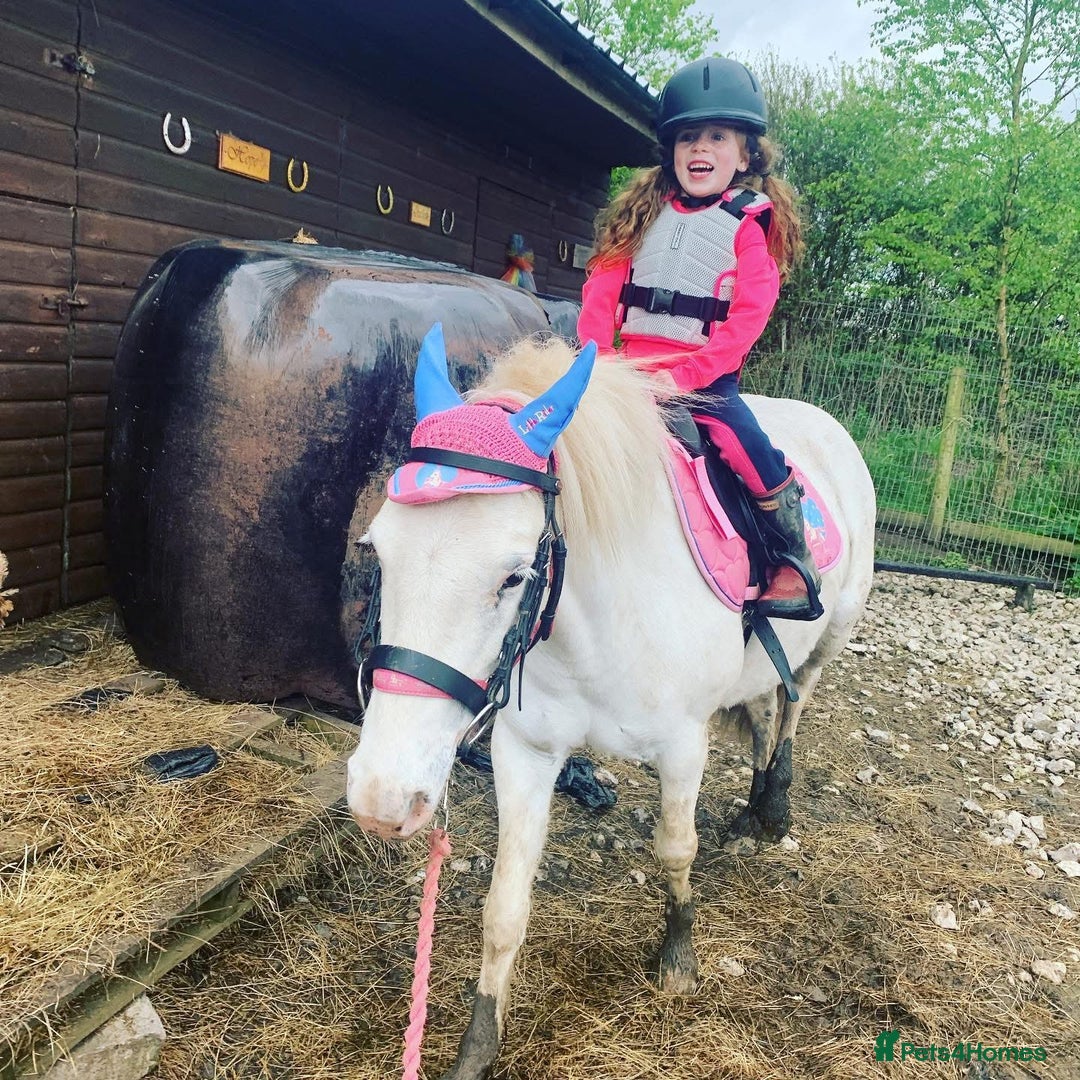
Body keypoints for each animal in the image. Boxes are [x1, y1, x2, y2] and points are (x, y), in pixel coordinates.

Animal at [346, 326, 876, 1079]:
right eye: (378, 552)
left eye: (515, 575)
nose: (382, 798)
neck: (593, 626)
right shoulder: (526, 752)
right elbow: (504, 906)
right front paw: (478, 1048)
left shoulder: (683, 745)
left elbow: (675, 850)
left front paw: (677, 961)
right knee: (764, 711)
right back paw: (750, 811)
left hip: (833, 633)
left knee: (793, 704)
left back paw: (773, 805)